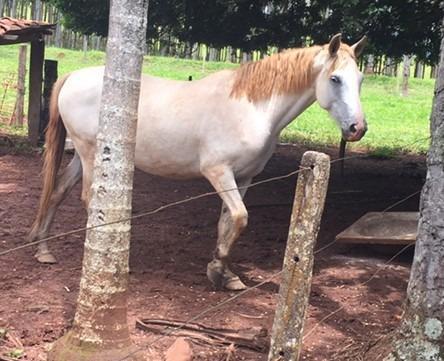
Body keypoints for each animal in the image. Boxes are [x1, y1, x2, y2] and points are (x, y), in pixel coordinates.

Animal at [28, 33, 368, 290]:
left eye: (360, 79)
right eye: (335, 79)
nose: (358, 128)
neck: (252, 108)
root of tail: (73, 76)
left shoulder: (244, 177)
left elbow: (228, 222)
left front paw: (225, 273)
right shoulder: (218, 172)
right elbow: (240, 217)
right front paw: (217, 269)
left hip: (84, 155)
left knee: (57, 191)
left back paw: (44, 250)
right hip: (89, 153)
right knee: (89, 200)